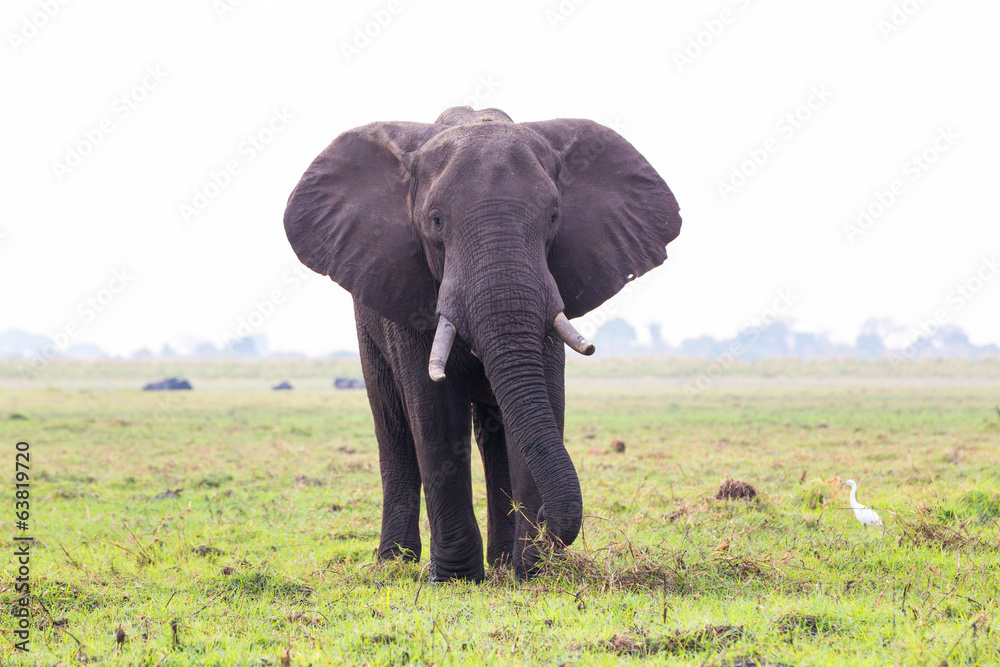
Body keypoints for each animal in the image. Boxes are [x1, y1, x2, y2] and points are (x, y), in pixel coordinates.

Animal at [283, 106, 681, 580]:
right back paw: (395, 564)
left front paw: (530, 572)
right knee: (392, 425)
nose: (545, 527)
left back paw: (503, 561)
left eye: (554, 217)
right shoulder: (410, 288)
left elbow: (544, 399)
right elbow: (434, 412)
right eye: (436, 221)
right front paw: (454, 578)